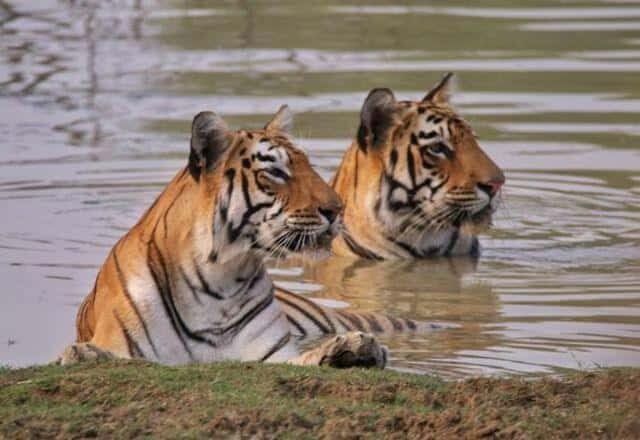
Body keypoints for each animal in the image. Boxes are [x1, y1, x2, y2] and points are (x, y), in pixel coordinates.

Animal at [58, 105, 431, 369]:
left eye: (308, 165)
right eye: (276, 172)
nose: (337, 209)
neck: (217, 281)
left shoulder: (271, 355)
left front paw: (355, 348)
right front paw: (83, 354)